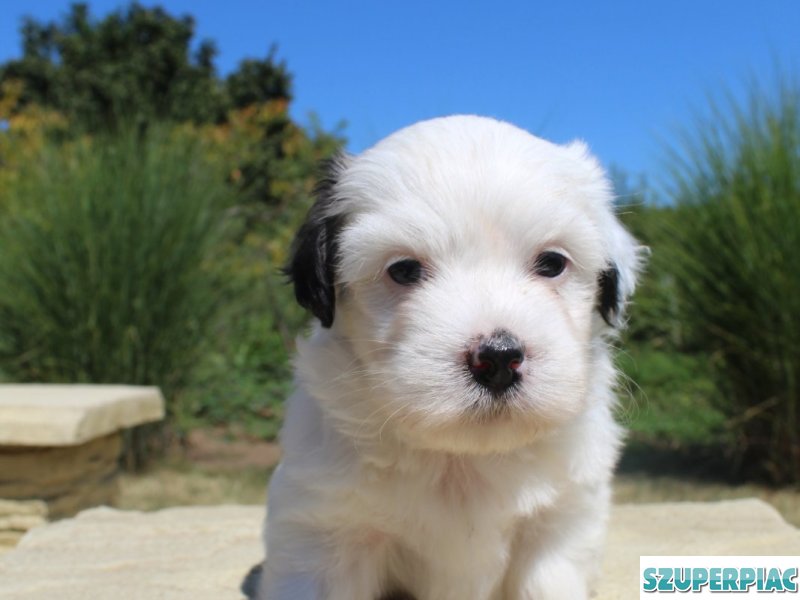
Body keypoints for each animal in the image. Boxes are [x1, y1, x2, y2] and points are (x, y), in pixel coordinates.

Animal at [258, 115, 644, 596]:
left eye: (553, 263)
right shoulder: (325, 533)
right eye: (403, 269)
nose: (497, 359)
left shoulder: (560, 524)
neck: (462, 459)